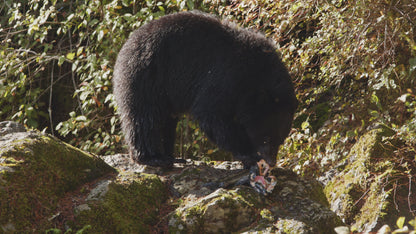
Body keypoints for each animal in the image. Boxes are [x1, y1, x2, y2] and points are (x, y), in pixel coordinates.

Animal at [112, 11, 298, 168]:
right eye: (266, 137)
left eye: (280, 139)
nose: (272, 162)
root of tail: (126, 46)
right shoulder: (226, 75)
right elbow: (212, 114)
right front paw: (249, 154)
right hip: (146, 77)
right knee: (146, 117)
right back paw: (153, 157)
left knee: (166, 119)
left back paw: (171, 156)